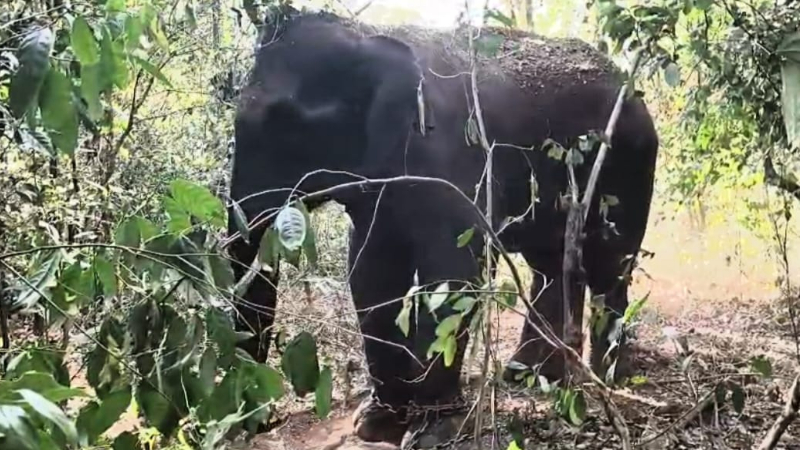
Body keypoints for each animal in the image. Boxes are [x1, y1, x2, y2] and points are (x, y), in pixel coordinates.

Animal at [226, 6, 658, 448]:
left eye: (287, 124)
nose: (261, 422)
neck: (366, 35)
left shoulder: (450, 158)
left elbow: (454, 271)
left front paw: (433, 431)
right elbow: (371, 274)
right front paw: (376, 425)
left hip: (626, 167)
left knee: (610, 263)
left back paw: (608, 376)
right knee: (553, 266)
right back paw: (530, 375)